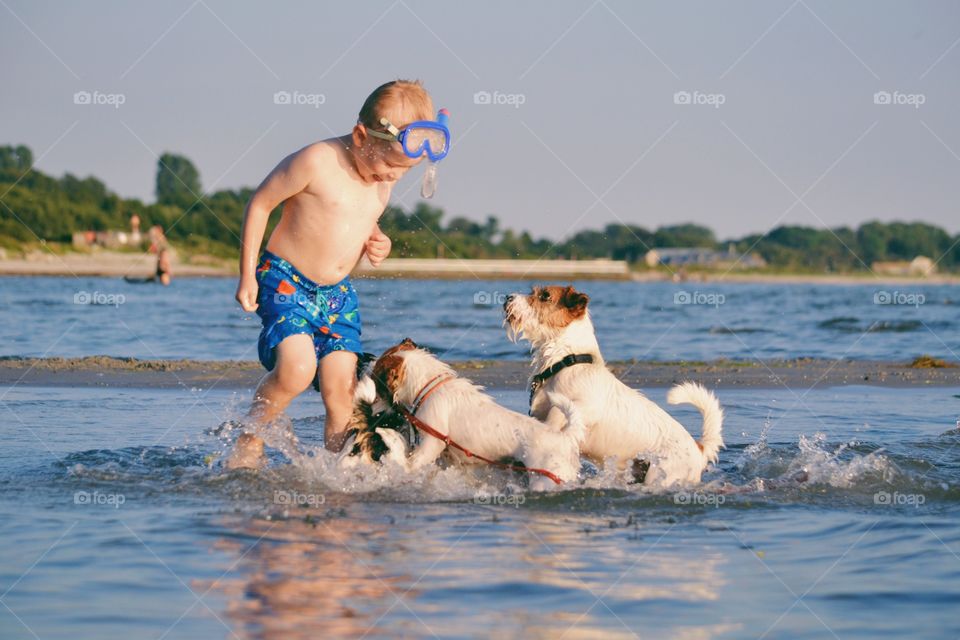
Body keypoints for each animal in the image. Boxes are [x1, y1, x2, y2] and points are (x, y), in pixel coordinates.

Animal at [374, 338, 584, 492]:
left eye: (375, 375)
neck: (429, 386)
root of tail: (565, 437)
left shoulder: (432, 443)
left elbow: (407, 463)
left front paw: (391, 439)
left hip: (545, 479)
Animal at [506, 284, 724, 484]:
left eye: (545, 296)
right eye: (533, 291)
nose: (508, 298)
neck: (566, 361)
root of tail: (699, 450)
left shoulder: (577, 410)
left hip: (660, 475)